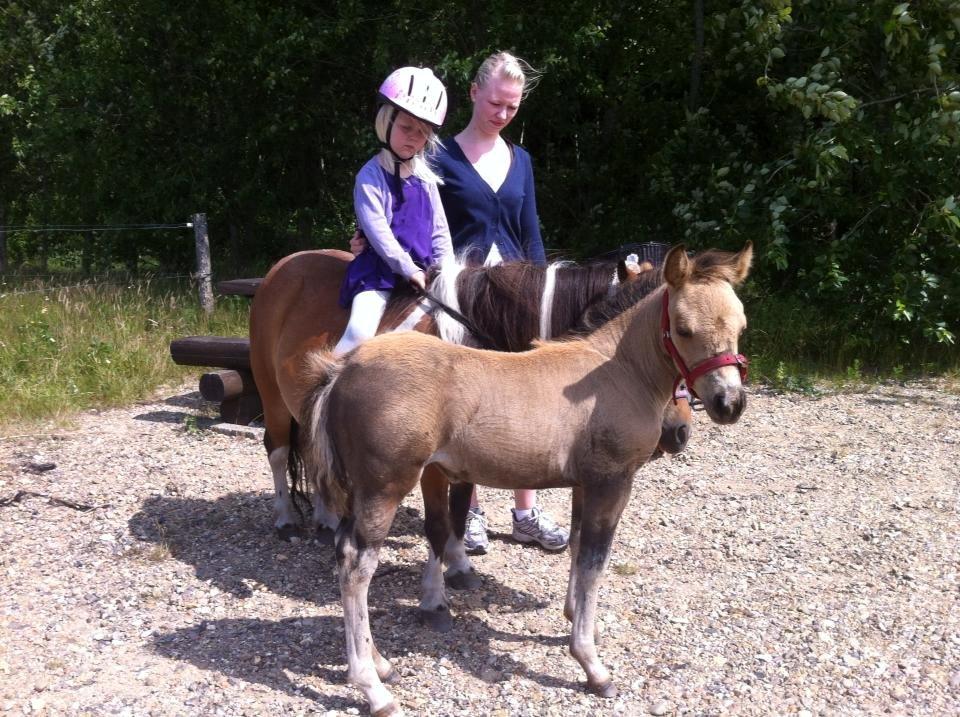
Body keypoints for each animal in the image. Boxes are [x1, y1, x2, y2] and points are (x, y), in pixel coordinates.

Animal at [248, 247, 693, 542]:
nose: (679, 430)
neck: (471, 329)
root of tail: (284, 265)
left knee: (313, 450)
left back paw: (325, 518)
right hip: (271, 394)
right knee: (278, 450)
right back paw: (286, 518)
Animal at [299, 243, 752, 715]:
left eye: (742, 325)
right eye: (683, 329)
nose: (728, 403)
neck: (614, 372)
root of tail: (342, 370)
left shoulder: (584, 483)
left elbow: (578, 548)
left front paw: (575, 619)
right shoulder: (612, 481)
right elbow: (595, 561)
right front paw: (591, 664)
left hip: (361, 490)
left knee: (344, 552)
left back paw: (381, 664)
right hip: (384, 488)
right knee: (357, 566)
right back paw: (372, 687)